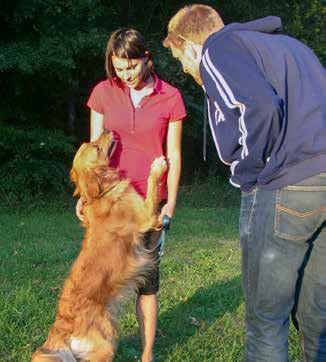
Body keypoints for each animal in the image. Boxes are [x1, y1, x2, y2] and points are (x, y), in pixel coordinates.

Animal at [32, 131, 166, 362]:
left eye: (91, 142)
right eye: (95, 147)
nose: (109, 131)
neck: (102, 192)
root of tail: (61, 328)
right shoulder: (147, 216)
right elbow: (151, 185)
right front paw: (157, 167)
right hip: (105, 345)